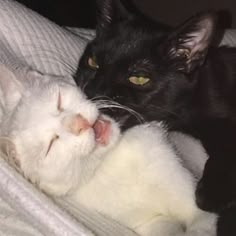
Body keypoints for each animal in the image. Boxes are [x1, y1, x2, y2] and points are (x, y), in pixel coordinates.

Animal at [0, 63, 218, 235]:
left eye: (59, 101)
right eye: (51, 145)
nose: (78, 124)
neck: (109, 164)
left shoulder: (193, 202)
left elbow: (200, 224)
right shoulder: (149, 221)